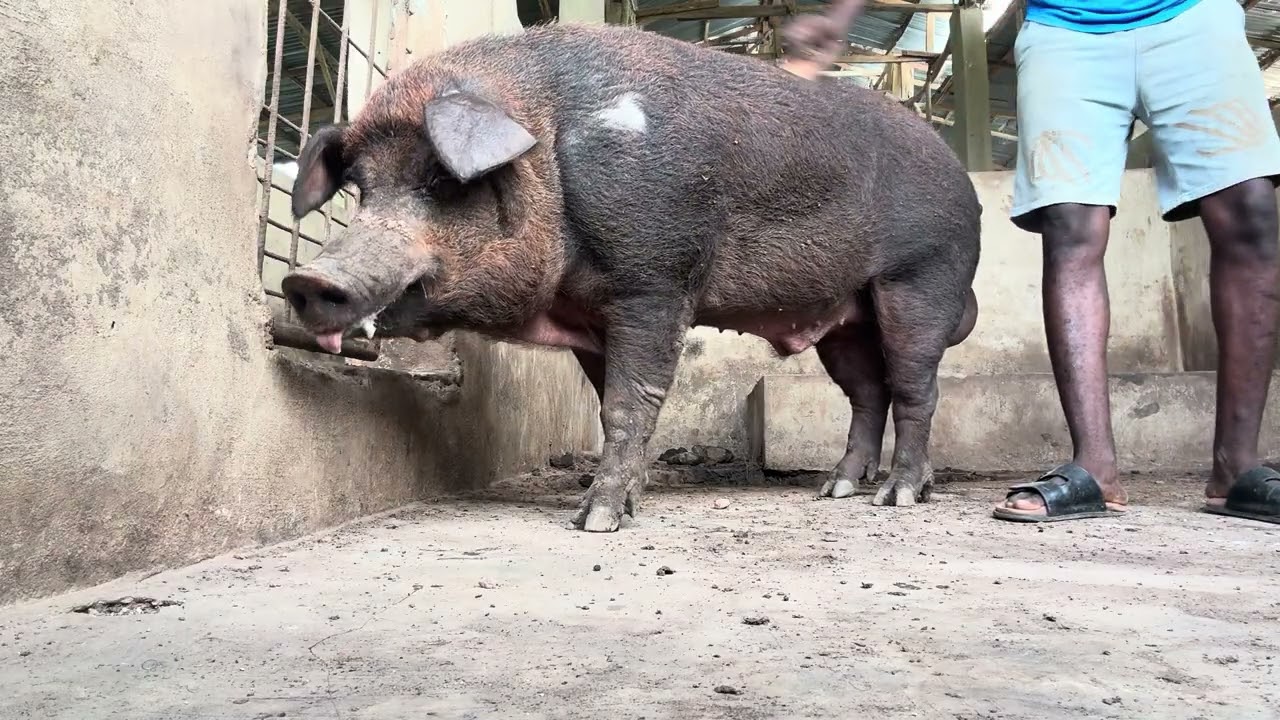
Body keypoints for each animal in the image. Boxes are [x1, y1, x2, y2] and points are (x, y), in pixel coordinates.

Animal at [280, 21, 981, 532]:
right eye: (360, 188)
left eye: (439, 181)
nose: (305, 281)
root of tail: (963, 180)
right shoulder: (592, 315)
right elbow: (607, 404)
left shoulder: (655, 280)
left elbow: (628, 401)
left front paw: (594, 522)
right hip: (844, 317)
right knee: (868, 393)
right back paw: (834, 490)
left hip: (921, 277)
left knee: (915, 389)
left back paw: (896, 497)